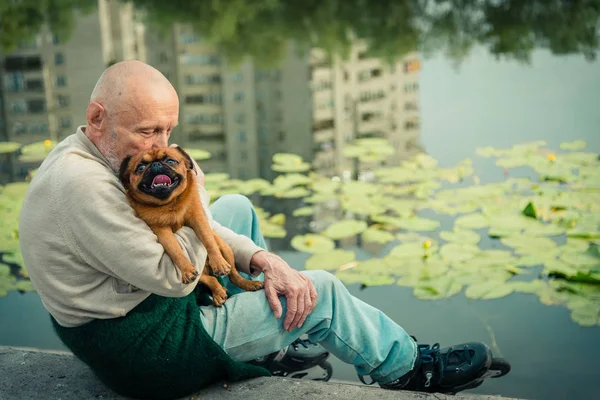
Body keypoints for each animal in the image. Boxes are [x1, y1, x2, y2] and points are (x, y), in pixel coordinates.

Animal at [119, 147, 262, 306]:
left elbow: (208, 240)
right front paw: (186, 270)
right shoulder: (162, 231)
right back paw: (219, 293)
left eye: (170, 161)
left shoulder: (198, 219)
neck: (169, 204)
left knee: (233, 275)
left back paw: (249, 284)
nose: (156, 165)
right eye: (141, 168)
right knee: (212, 279)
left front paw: (218, 263)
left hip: (226, 248)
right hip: (200, 276)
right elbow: (175, 250)